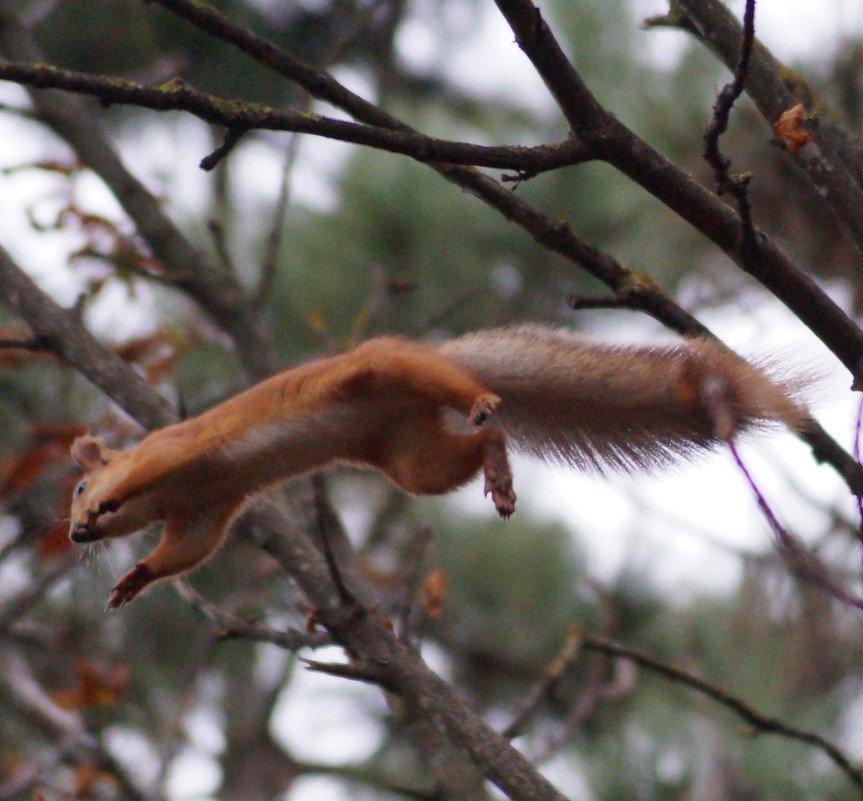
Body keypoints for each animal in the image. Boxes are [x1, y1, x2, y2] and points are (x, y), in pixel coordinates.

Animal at [67, 324, 808, 608]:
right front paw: (135, 577)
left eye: (76, 483)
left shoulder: (173, 452)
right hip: (413, 458)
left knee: (459, 389)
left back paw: (479, 400)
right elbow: (185, 552)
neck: (171, 495)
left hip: (385, 369)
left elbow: (148, 468)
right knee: (478, 445)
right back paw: (498, 471)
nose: (75, 530)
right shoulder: (204, 511)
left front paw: (110, 507)